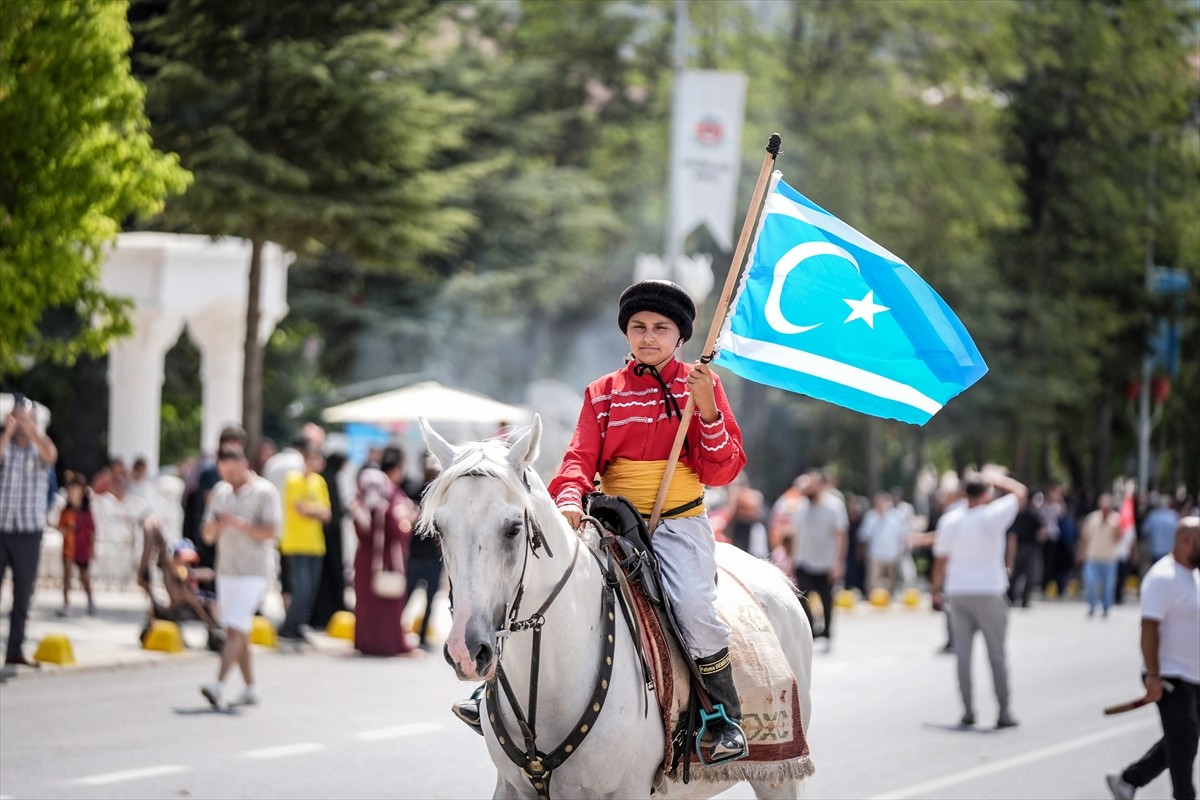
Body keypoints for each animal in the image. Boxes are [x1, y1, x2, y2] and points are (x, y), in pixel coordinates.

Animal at [415, 417, 816, 796]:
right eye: (439, 529)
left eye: (513, 528)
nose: (466, 651)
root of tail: (772, 574)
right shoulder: (512, 788)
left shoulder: (626, 790)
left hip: (779, 778)